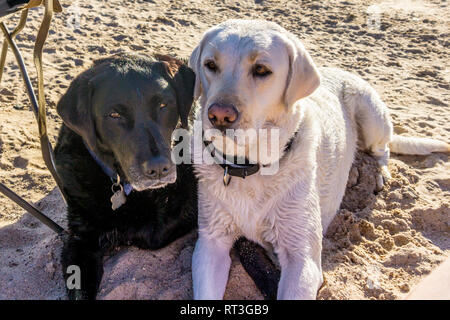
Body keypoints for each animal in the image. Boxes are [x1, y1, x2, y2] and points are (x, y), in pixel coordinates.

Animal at [187, 19, 450, 300]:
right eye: (210, 65)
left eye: (261, 69)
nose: (219, 115)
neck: (249, 165)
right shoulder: (211, 244)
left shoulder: (302, 259)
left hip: (371, 116)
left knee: (383, 149)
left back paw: (378, 173)